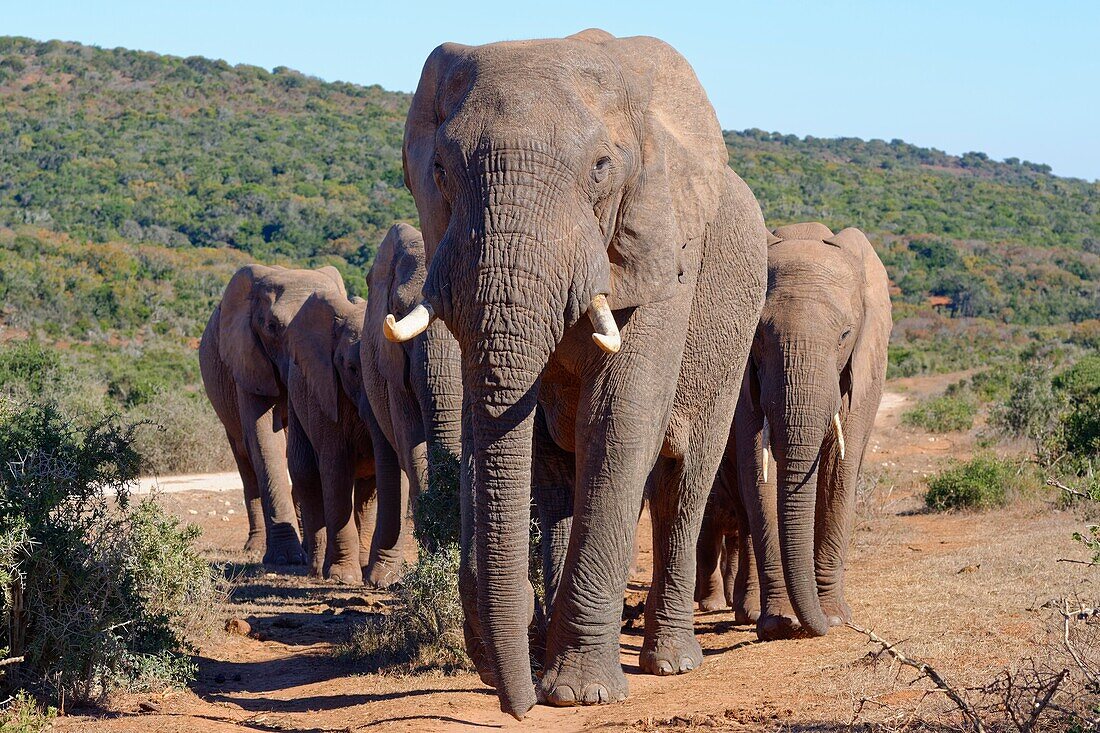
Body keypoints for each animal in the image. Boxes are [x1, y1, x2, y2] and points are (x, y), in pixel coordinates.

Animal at [200, 260, 345, 559]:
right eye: (272, 326)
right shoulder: (247, 359)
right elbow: (266, 440)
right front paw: (287, 557)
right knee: (245, 458)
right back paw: (254, 548)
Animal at [385, 31, 765, 717]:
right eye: (440, 172)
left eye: (600, 169)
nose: (514, 704)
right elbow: (497, 426)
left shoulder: (666, 256)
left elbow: (619, 422)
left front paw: (579, 695)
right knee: (561, 478)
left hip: (731, 338)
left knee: (683, 479)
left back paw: (670, 662)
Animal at [704, 220, 893, 638]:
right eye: (757, 335)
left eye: (844, 335)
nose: (817, 625)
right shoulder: (745, 383)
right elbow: (759, 474)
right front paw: (778, 624)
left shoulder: (866, 368)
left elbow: (840, 472)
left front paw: (835, 617)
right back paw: (750, 613)